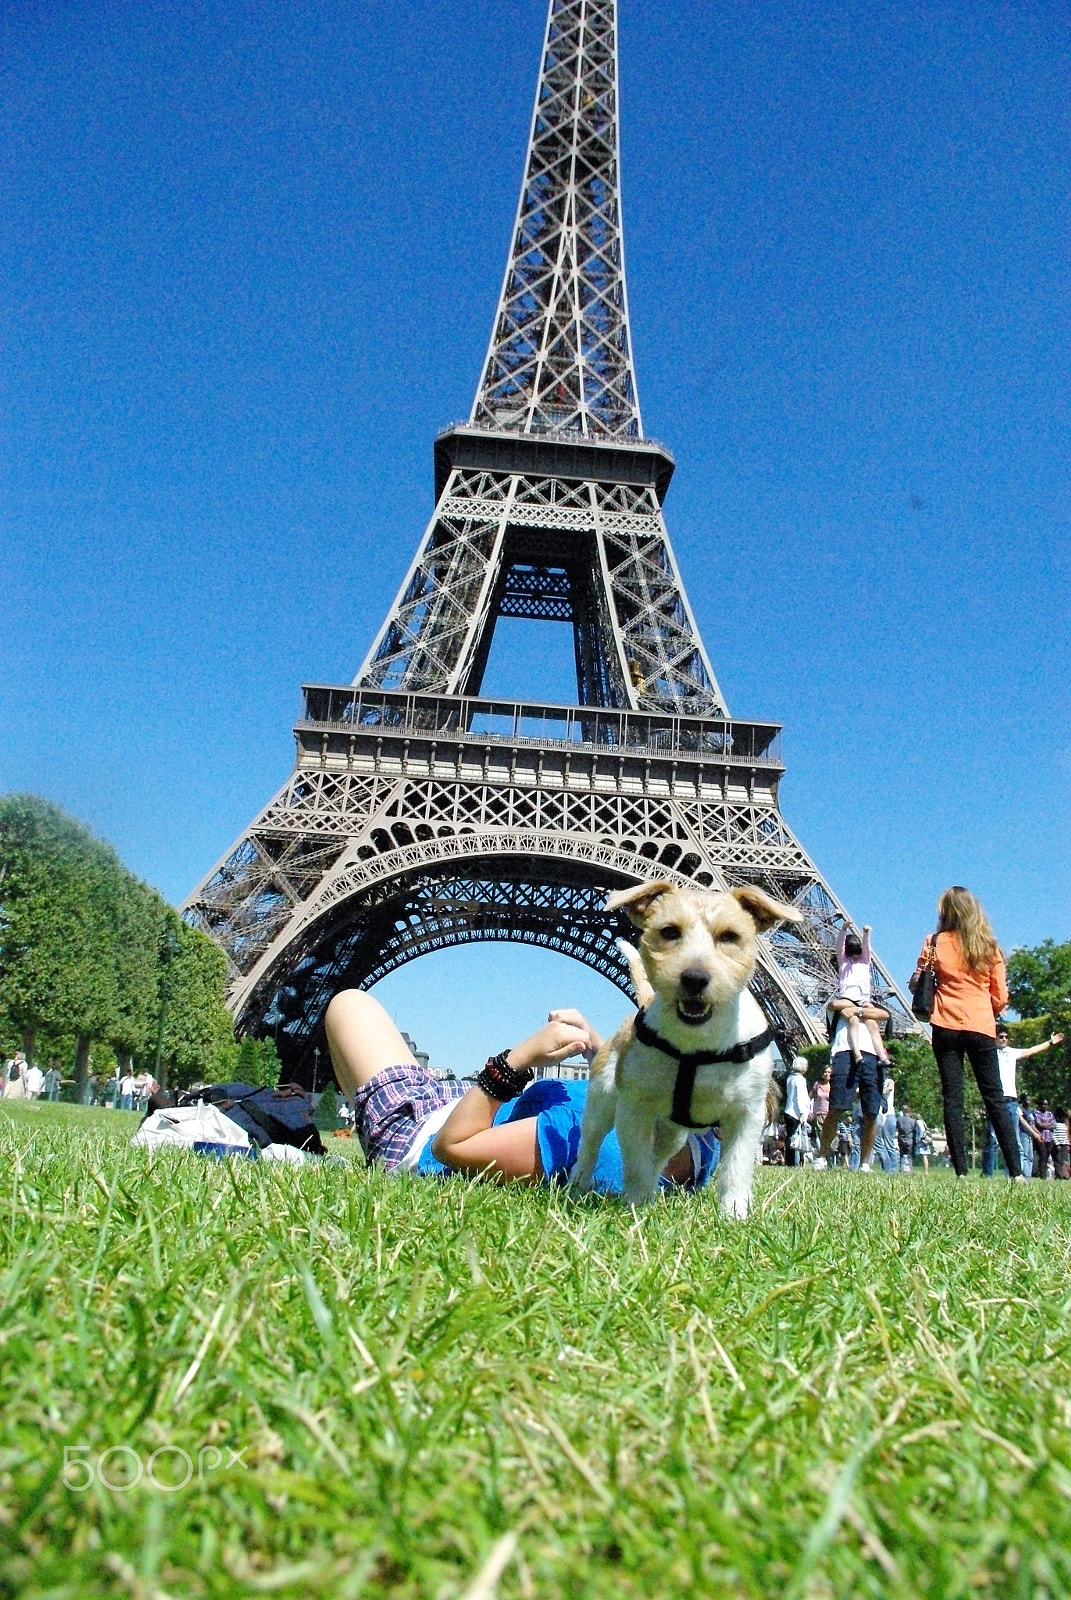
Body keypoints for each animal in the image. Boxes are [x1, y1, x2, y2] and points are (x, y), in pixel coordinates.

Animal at [573, 883, 797, 1203]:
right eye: (669, 931)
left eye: (729, 936)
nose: (694, 978)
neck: (697, 1045)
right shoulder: (634, 1110)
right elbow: (636, 1165)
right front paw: (635, 1206)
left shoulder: (747, 1114)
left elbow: (736, 1168)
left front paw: (735, 1211)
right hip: (602, 1099)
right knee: (591, 1144)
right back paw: (577, 1185)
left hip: (674, 1133)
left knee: (659, 1157)